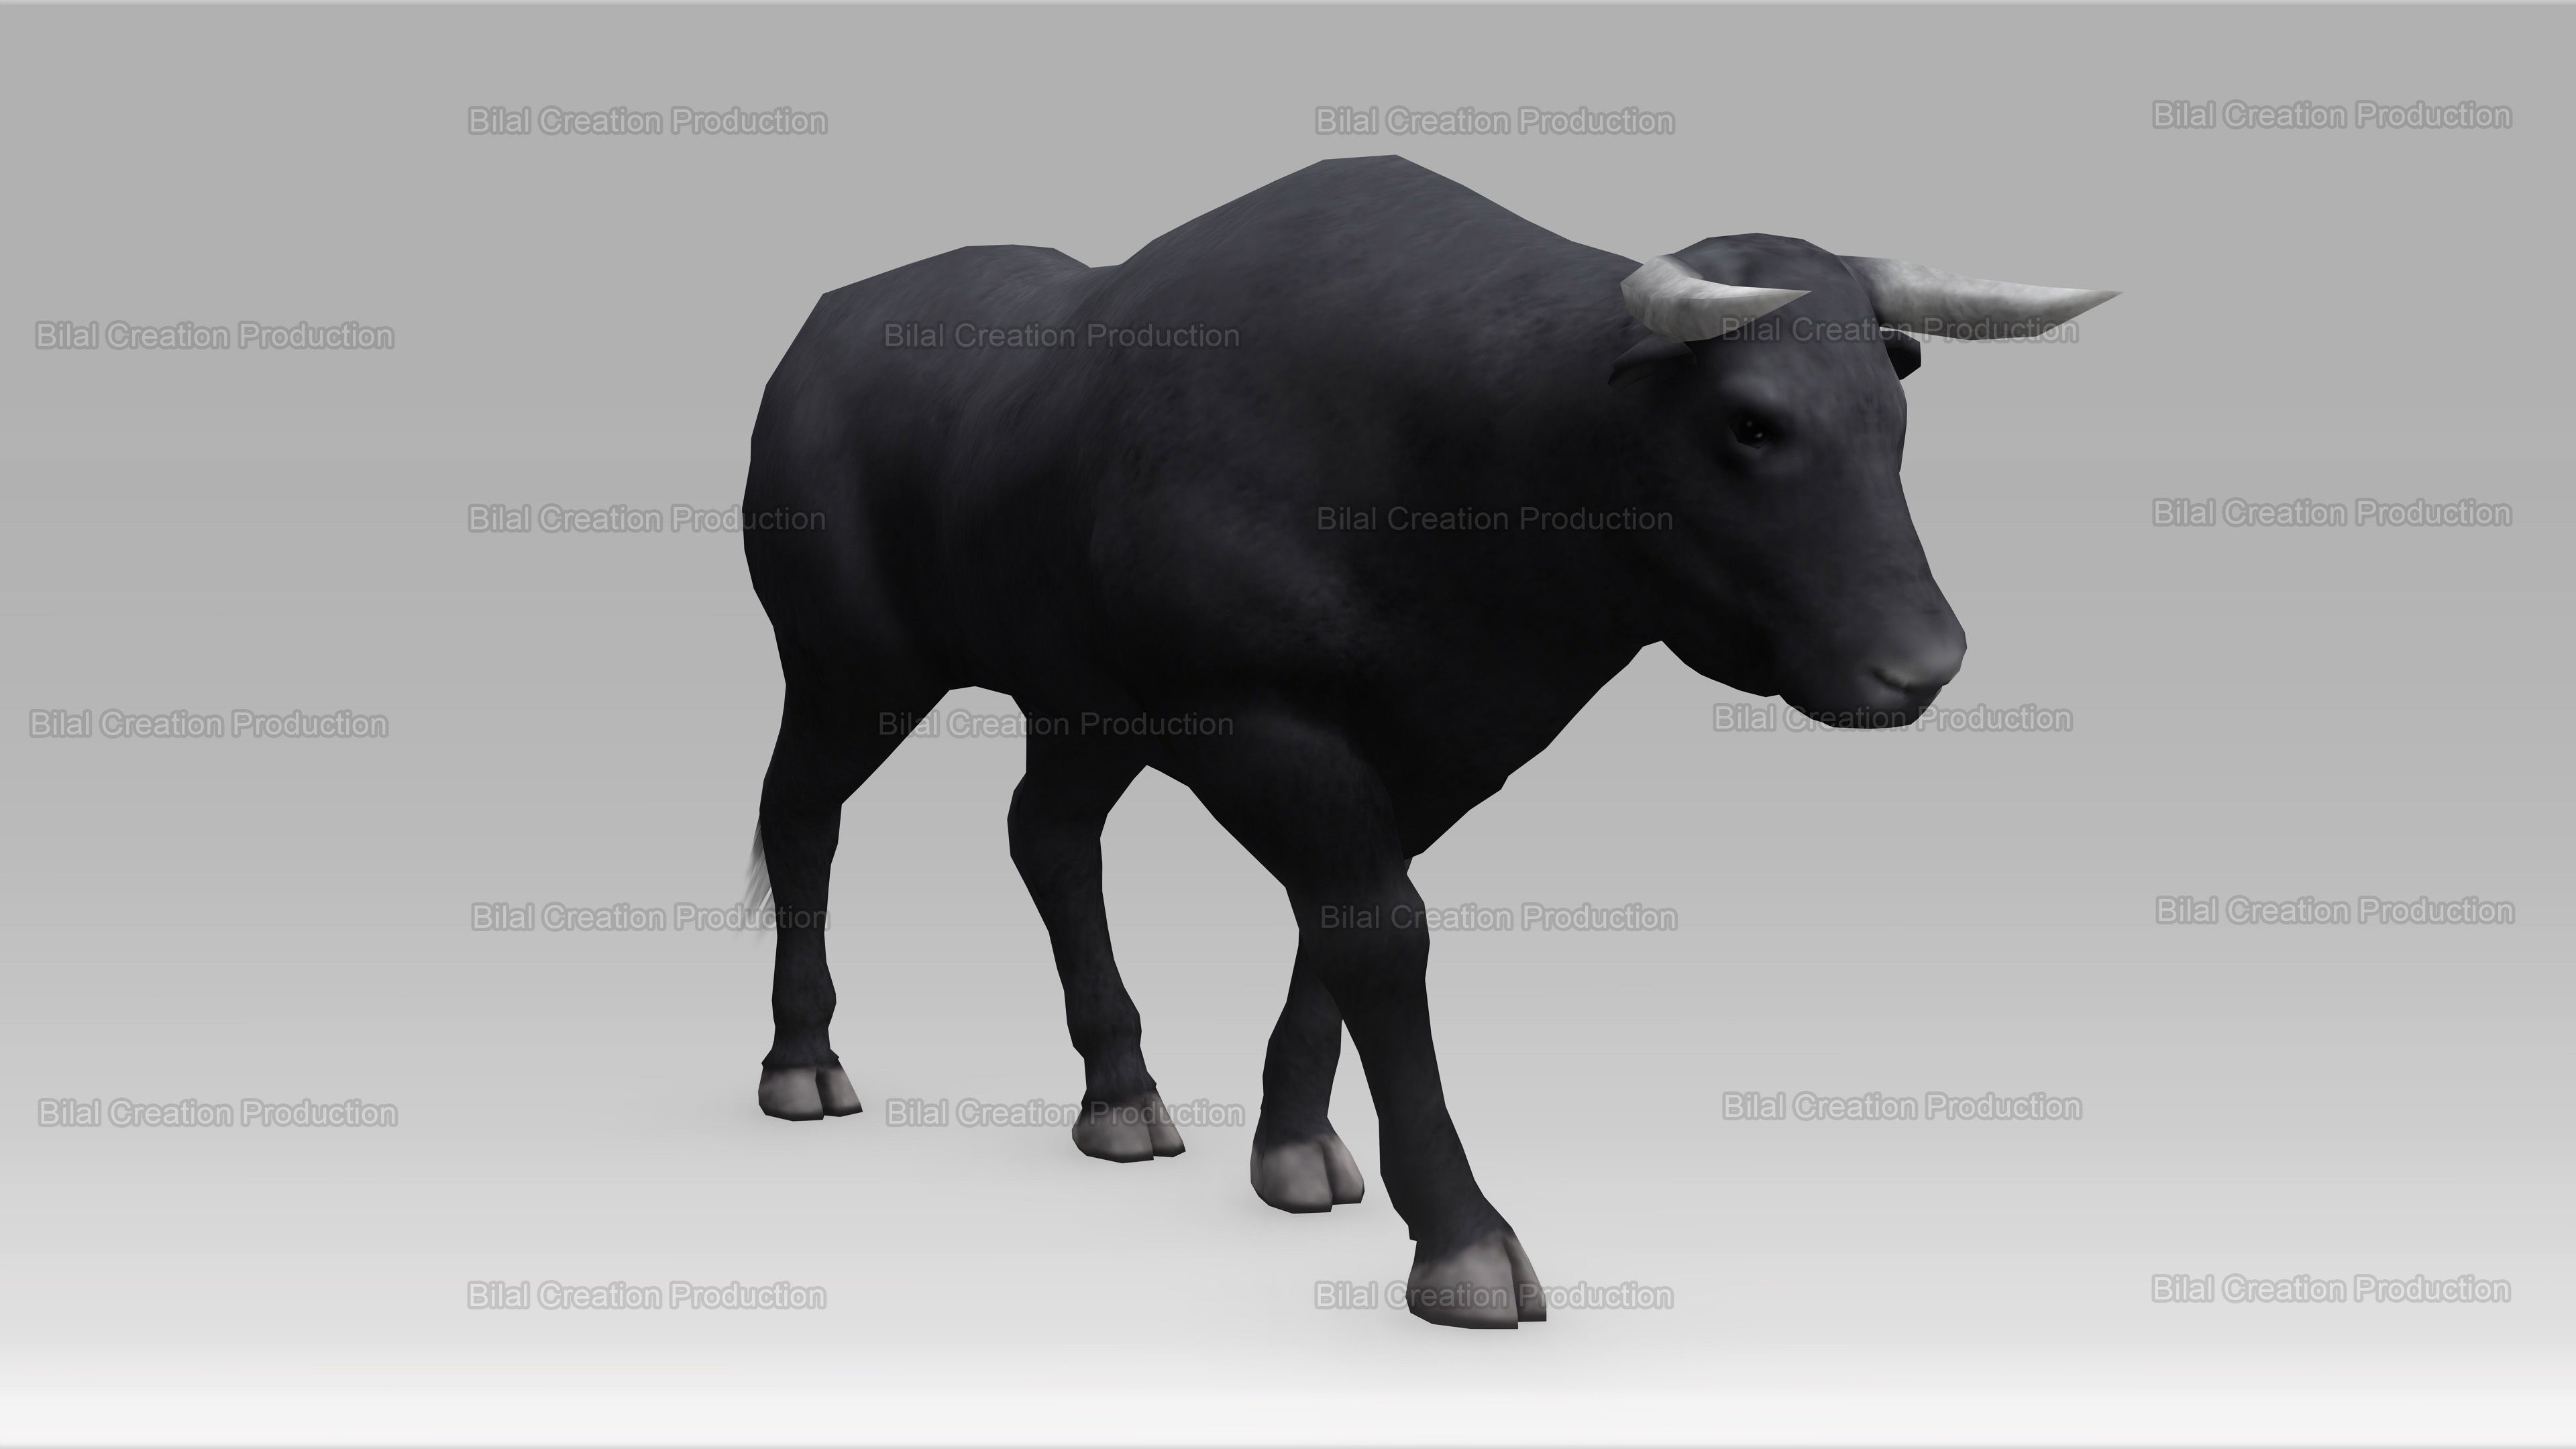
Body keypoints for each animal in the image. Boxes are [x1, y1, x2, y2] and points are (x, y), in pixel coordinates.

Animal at [738, 155, 2114, 1327]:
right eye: (1751, 423)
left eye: (1891, 413)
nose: (1922, 666)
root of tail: (828, 323)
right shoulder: (1268, 724)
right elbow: (1381, 938)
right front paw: (1462, 1240)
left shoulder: (1441, 753)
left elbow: (1340, 938)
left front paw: (1293, 1143)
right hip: (847, 666)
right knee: (802, 814)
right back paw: (803, 1061)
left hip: (1080, 702)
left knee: (1049, 838)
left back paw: (1121, 1092)